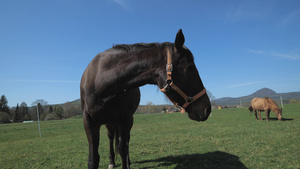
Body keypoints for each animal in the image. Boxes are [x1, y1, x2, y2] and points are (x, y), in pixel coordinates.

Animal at [79, 29, 211, 168]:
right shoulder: (89, 121)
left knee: (125, 141)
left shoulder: (125, 119)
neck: (101, 82)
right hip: (109, 122)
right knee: (111, 137)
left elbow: (123, 149)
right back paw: (111, 162)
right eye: (190, 67)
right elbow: (93, 158)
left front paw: (126, 162)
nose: (207, 109)